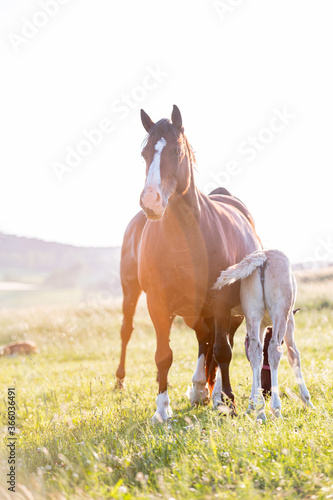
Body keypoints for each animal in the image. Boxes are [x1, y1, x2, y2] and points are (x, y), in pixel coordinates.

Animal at [136, 106, 262, 422]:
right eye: (145, 153)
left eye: (176, 151)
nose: (150, 201)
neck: (183, 239)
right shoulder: (157, 304)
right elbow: (164, 356)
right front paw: (162, 410)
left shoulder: (221, 301)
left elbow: (223, 351)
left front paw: (226, 402)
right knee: (203, 339)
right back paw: (199, 389)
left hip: (230, 311)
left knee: (219, 343)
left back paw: (213, 394)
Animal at [213, 249, 312, 418]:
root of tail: (263, 257)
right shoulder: (290, 321)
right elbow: (294, 355)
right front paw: (307, 400)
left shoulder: (260, 325)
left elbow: (257, 360)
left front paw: (253, 405)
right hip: (280, 313)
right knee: (274, 351)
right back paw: (276, 409)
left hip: (252, 314)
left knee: (254, 351)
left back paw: (258, 411)